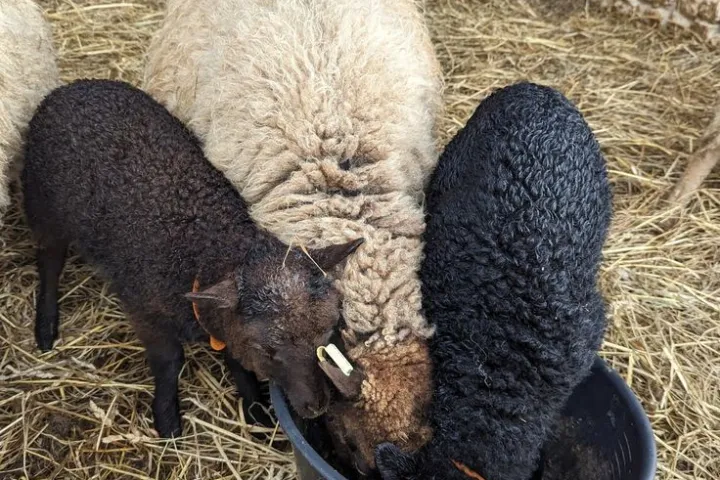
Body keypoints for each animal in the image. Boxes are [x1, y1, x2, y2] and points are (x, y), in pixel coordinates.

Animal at [22, 79, 364, 438]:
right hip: (43, 206)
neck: (209, 246)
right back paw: (45, 326)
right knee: (48, 262)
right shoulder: (146, 312)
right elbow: (170, 361)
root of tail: (72, 87)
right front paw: (167, 419)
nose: (317, 406)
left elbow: (235, 360)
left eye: (327, 334)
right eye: (267, 351)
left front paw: (255, 410)